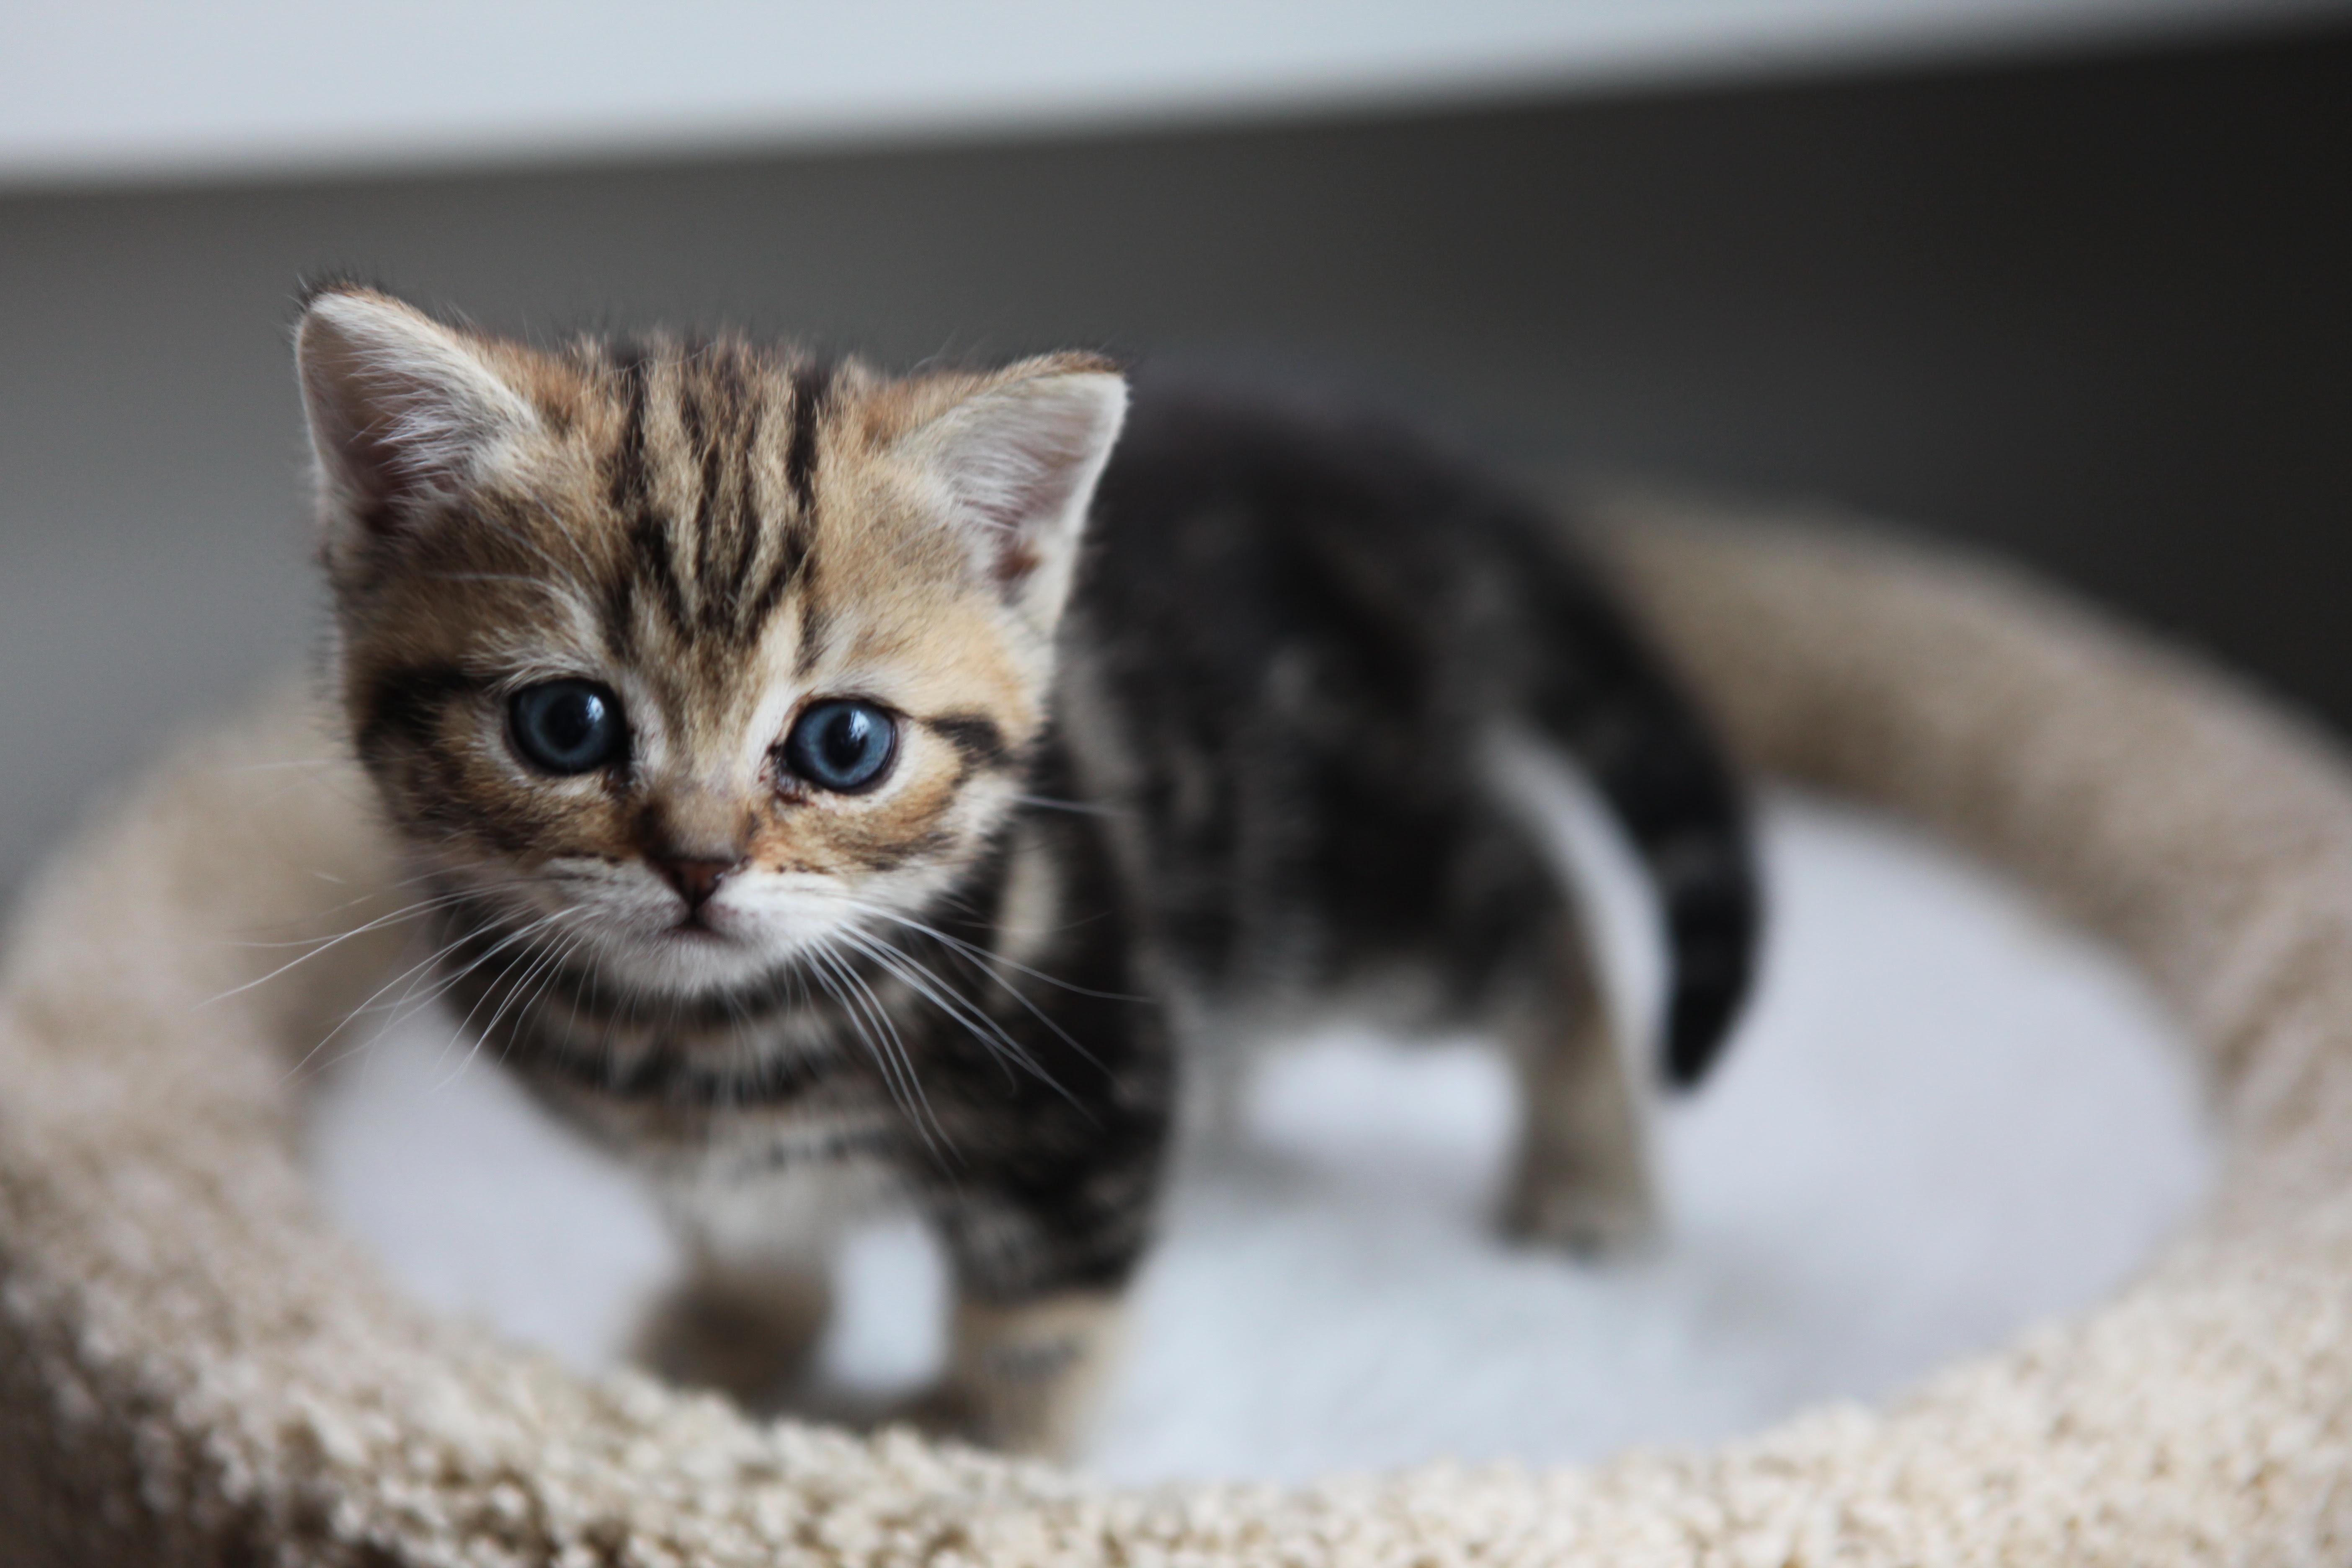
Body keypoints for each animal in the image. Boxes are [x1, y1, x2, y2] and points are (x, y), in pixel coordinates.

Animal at [294, 282, 1759, 1457]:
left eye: (842, 744)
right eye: (567, 724)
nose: (700, 866)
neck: (705, 1045)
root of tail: (1365, 450)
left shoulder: (1089, 1101)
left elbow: (1039, 1321)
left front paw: (966, 1452)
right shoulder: (704, 1165)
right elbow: (750, 1239)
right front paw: (725, 1346)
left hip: (1360, 885)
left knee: (1539, 906)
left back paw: (1587, 1178)